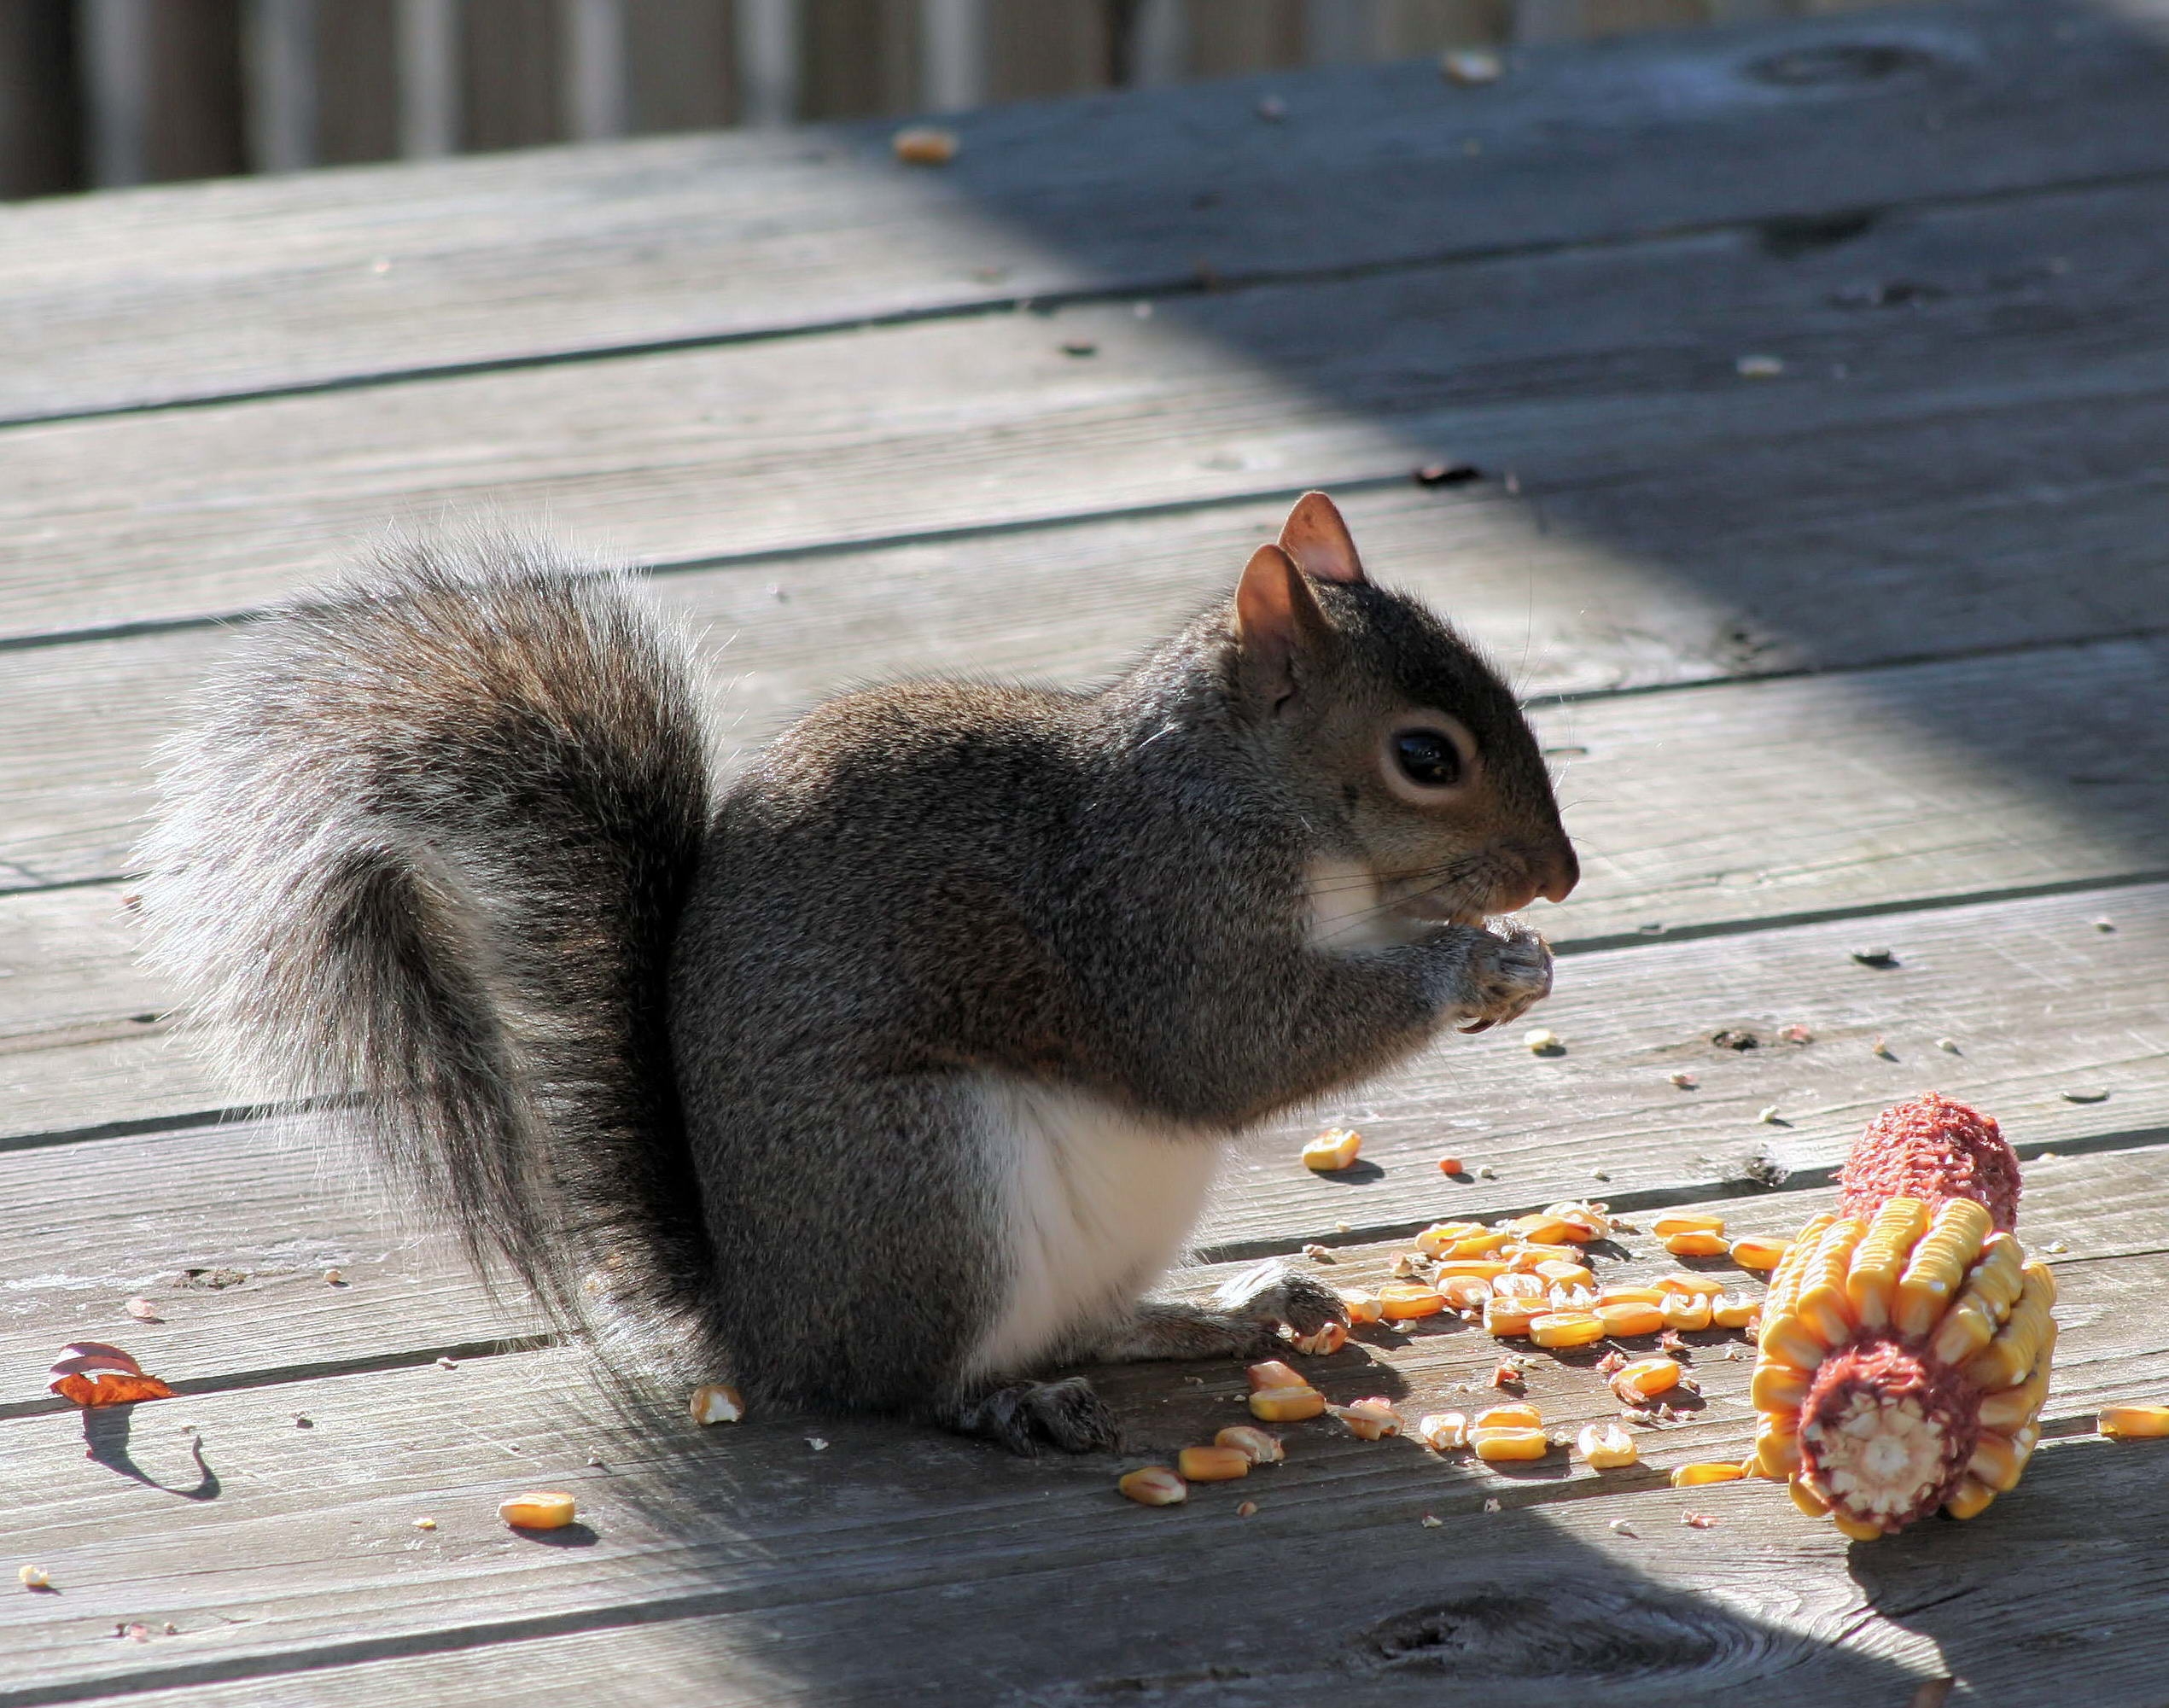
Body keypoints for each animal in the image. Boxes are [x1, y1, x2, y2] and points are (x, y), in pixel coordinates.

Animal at [149, 494, 1578, 1458]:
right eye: (1425, 756)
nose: (1559, 876)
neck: (1246, 791)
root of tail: (769, 1328)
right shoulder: (1148, 914)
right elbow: (1229, 1049)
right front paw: (1472, 963)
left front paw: (1518, 956)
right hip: (925, 1187)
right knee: (909, 1386)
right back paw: (1009, 1404)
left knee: (1081, 1323)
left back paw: (1221, 1307)